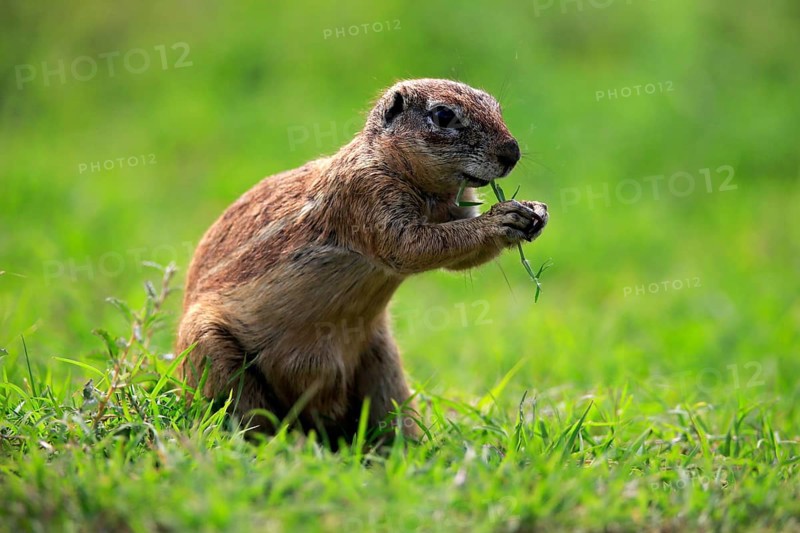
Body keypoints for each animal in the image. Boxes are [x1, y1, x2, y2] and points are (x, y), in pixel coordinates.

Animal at [176, 78, 549, 445]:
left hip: (384, 366)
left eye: (494, 105)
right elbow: (413, 246)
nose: (512, 153)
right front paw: (504, 218)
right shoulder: (367, 195)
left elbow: (457, 256)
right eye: (443, 116)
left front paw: (536, 211)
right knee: (251, 420)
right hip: (214, 354)